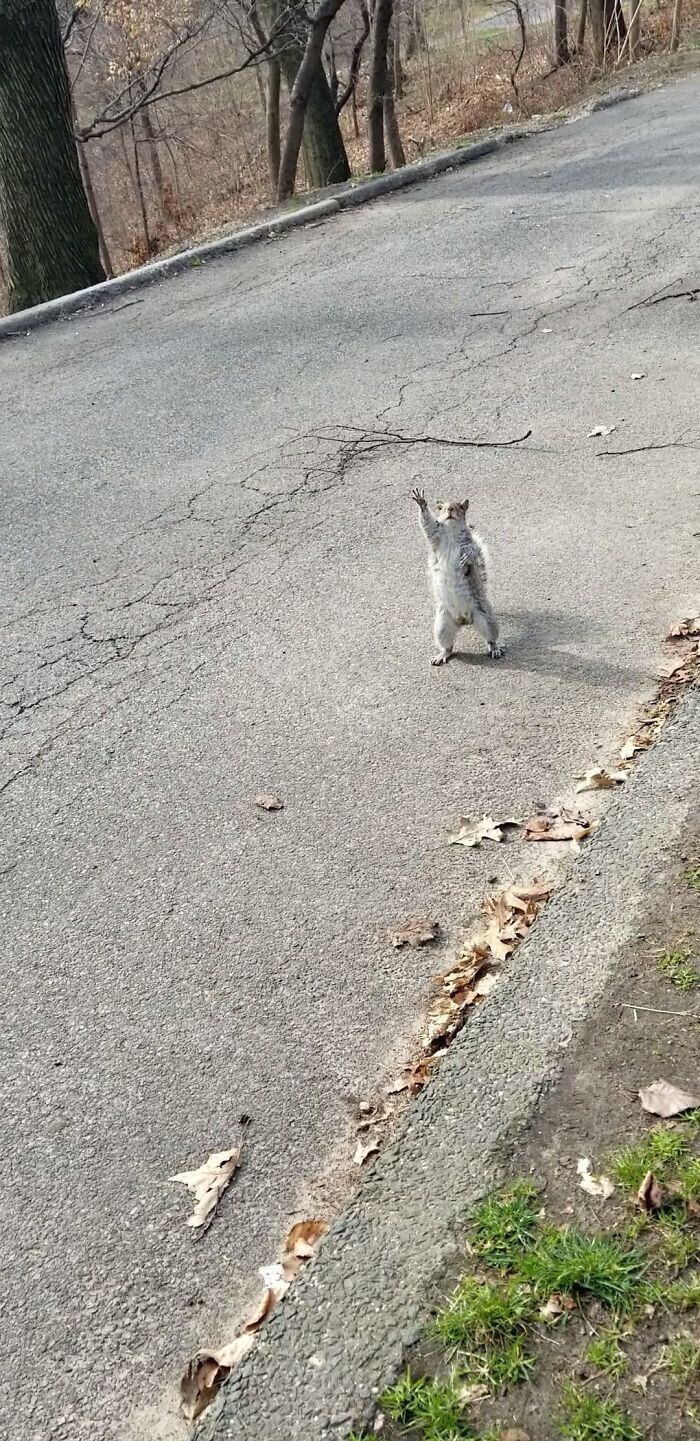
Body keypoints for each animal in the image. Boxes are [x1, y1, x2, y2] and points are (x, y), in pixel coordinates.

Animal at [409, 484, 504, 662]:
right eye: (441, 508)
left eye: (461, 507)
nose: (450, 509)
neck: (452, 533)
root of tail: (464, 620)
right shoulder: (435, 536)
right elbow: (427, 524)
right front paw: (422, 502)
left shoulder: (469, 543)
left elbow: (473, 551)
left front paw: (467, 557)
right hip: (443, 624)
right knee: (448, 646)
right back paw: (441, 655)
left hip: (485, 617)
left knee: (490, 636)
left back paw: (494, 648)